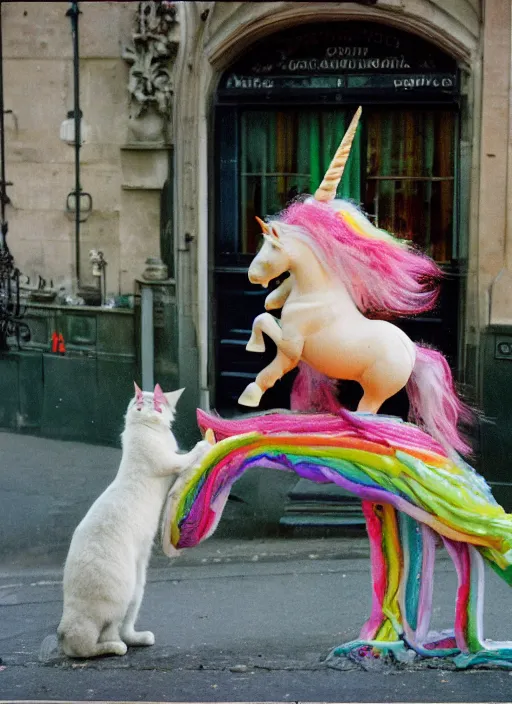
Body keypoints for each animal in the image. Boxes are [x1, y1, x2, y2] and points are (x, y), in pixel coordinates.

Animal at [56, 382, 208, 656]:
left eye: (156, 402)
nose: (151, 407)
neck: (143, 428)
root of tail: (65, 630)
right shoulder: (169, 460)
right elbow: (186, 456)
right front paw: (202, 446)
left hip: (138, 587)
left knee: (124, 626)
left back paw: (138, 638)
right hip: (122, 588)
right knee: (99, 638)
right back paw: (114, 647)